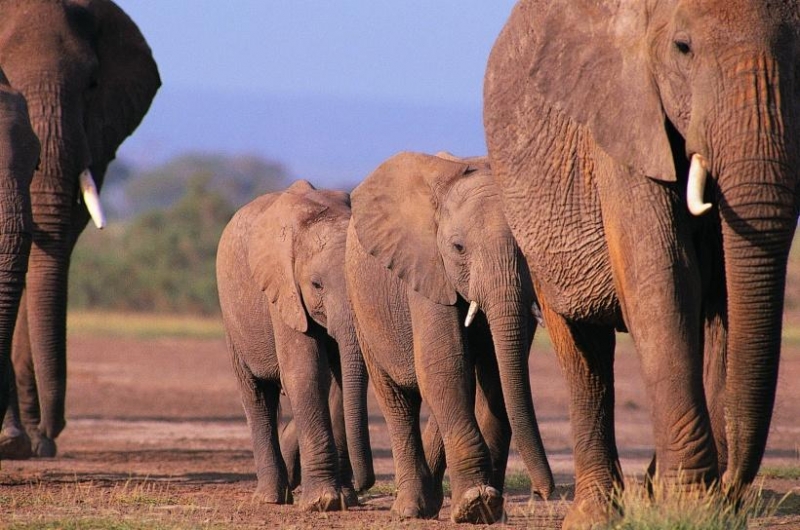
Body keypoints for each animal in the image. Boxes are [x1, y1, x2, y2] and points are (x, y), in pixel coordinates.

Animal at [214, 180, 374, 508]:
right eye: (316, 285)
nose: (366, 486)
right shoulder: (282, 292)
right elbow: (305, 373)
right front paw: (324, 502)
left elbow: (338, 382)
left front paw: (344, 499)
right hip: (232, 316)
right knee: (256, 395)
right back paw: (270, 498)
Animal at [346, 152, 552, 520]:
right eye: (458, 248)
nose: (543, 492)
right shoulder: (427, 268)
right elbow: (444, 367)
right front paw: (475, 504)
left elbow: (495, 376)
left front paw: (490, 509)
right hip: (361, 306)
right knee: (398, 400)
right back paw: (410, 509)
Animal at [482, 2, 800, 524]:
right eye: (683, 48)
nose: (734, 487)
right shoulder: (623, 122)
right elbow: (665, 278)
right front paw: (689, 506)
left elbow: (722, 295)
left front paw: (701, 506)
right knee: (583, 349)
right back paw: (595, 515)